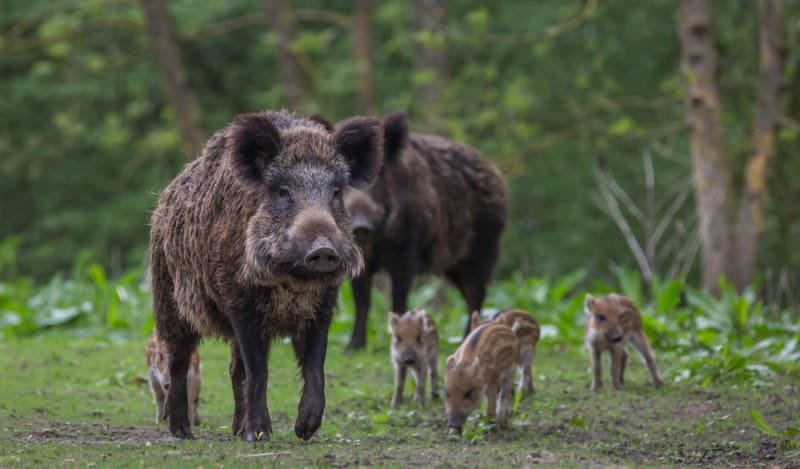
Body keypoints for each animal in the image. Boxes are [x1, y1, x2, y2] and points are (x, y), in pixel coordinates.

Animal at [149, 110, 383, 440]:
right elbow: (259, 370)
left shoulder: (322, 306)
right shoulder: (239, 303)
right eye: (283, 191)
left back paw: (237, 430)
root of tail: (166, 196)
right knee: (179, 360)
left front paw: (304, 430)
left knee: (235, 369)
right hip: (169, 299)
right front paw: (258, 435)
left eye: (336, 191)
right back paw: (183, 432)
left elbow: (315, 367)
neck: (292, 282)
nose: (323, 249)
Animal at [343, 111, 507, 349]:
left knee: (476, 293)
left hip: (482, 249)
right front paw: (352, 348)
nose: (361, 226)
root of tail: (496, 174)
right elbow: (362, 301)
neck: (376, 245)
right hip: (453, 265)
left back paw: (466, 339)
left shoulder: (406, 252)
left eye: (377, 180)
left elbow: (398, 297)